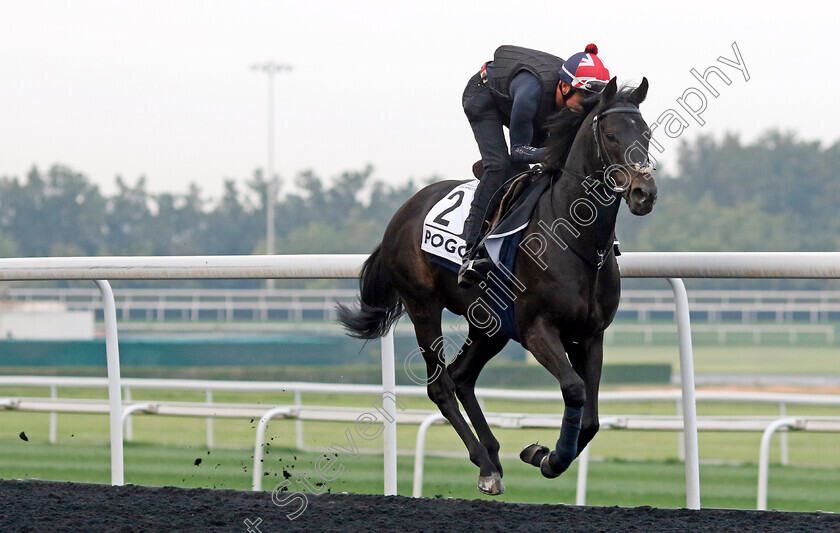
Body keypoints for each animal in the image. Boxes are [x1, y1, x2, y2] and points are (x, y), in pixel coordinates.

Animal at [338, 78, 660, 494]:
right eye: (610, 135)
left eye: (647, 134)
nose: (644, 193)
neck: (577, 239)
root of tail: (404, 211)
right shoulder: (537, 328)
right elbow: (573, 389)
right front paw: (548, 458)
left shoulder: (590, 335)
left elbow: (590, 419)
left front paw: (542, 454)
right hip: (423, 305)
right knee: (440, 384)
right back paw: (485, 464)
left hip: (490, 324)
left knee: (461, 377)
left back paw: (491, 455)